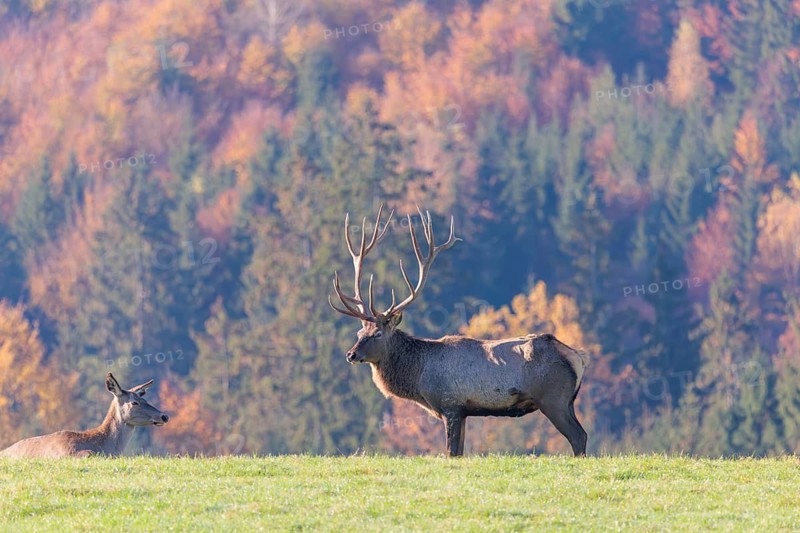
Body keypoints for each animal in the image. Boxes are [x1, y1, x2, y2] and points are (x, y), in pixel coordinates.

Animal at [329, 205, 589, 457]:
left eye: (378, 334)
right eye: (359, 334)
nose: (351, 354)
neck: (418, 376)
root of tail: (576, 356)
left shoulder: (451, 405)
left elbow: (450, 452)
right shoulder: (463, 412)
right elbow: (459, 452)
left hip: (553, 398)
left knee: (579, 436)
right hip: (567, 402)